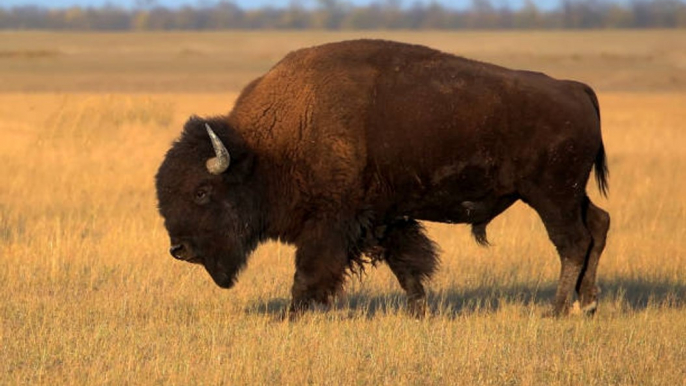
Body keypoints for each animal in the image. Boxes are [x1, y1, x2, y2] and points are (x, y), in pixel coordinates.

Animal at [157, 38, 612, 316]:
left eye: (201, 192)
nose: (179, 249)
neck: (264, 151)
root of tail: (575, 88)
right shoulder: (384, 217)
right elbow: (406, 266)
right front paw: (421, 313)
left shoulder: (332, 223)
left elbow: (309, 273)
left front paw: (288, 317)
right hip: (572, 194)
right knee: (598, 225)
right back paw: (587, 304)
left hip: (552, 195)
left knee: (572, 242)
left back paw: (558, 310)